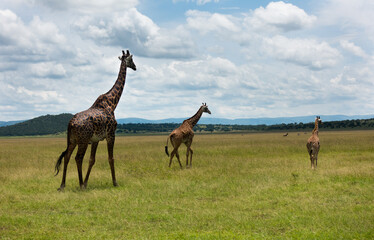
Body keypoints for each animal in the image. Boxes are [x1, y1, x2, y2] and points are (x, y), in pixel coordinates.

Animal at [54, 49, 137, 190]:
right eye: (131, 59)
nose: (135, 67)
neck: (112, 103)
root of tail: (70, 124)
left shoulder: (96, 139)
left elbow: (92, 160)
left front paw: (87, 182)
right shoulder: (111, 134)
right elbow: (111, 158)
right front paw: (115, 182)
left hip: (72, 140)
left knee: (67, 157)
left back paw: (62, 185)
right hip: (82, 140)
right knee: (78, 158)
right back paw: (80, 185)